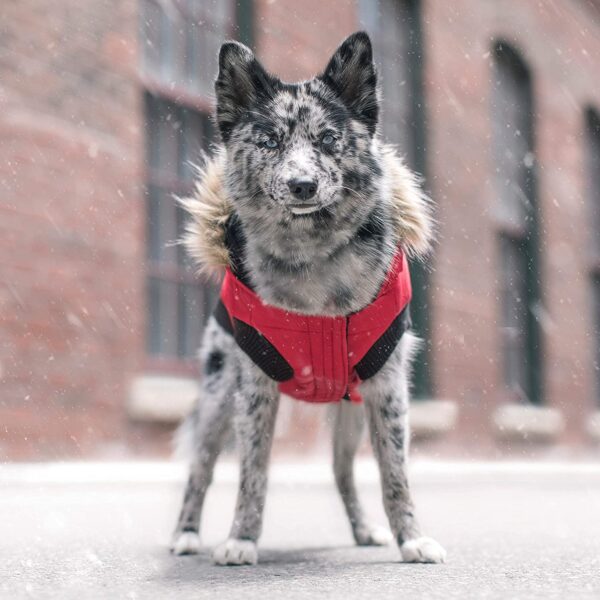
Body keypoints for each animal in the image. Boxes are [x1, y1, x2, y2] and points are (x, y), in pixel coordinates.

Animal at [169, 30, 446, 564]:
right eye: (270, 141)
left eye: (328, 139)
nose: (303, 184)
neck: (314, 258)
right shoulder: (255, 389)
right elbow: (252, 474)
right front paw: (241, 538)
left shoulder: (388, 389)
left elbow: (395, 475)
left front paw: (412, 538)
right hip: (218, 397)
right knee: (200, 470)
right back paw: (185, 534)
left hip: (350, 414)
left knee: (343, 474)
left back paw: (364, 530)